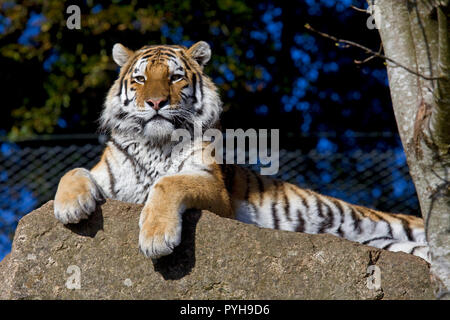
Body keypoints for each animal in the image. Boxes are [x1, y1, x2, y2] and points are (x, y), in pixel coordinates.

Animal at [54, 41, 430, 262]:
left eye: (174, 78)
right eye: (141, 79)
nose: (156, 102)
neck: (156, 143)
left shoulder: (214, 188)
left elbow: (168, 183)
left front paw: (156, 238)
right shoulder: (109, 176)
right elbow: (72, 171)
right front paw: (71, 207)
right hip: (386, 243)